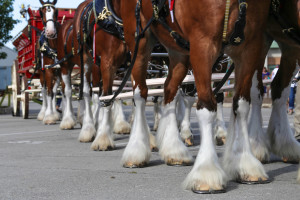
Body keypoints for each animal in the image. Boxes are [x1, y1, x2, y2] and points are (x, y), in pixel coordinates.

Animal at [118, 0, 270, 194]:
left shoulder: (250, 47)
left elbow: (241, 106)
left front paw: (246, 165)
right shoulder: (202, 45)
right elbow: (206, 108)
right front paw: (207, 173)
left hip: (177, 50)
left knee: (170, 90)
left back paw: (174, 150)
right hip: (139, 39)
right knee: (140, 94)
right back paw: (136, 151)